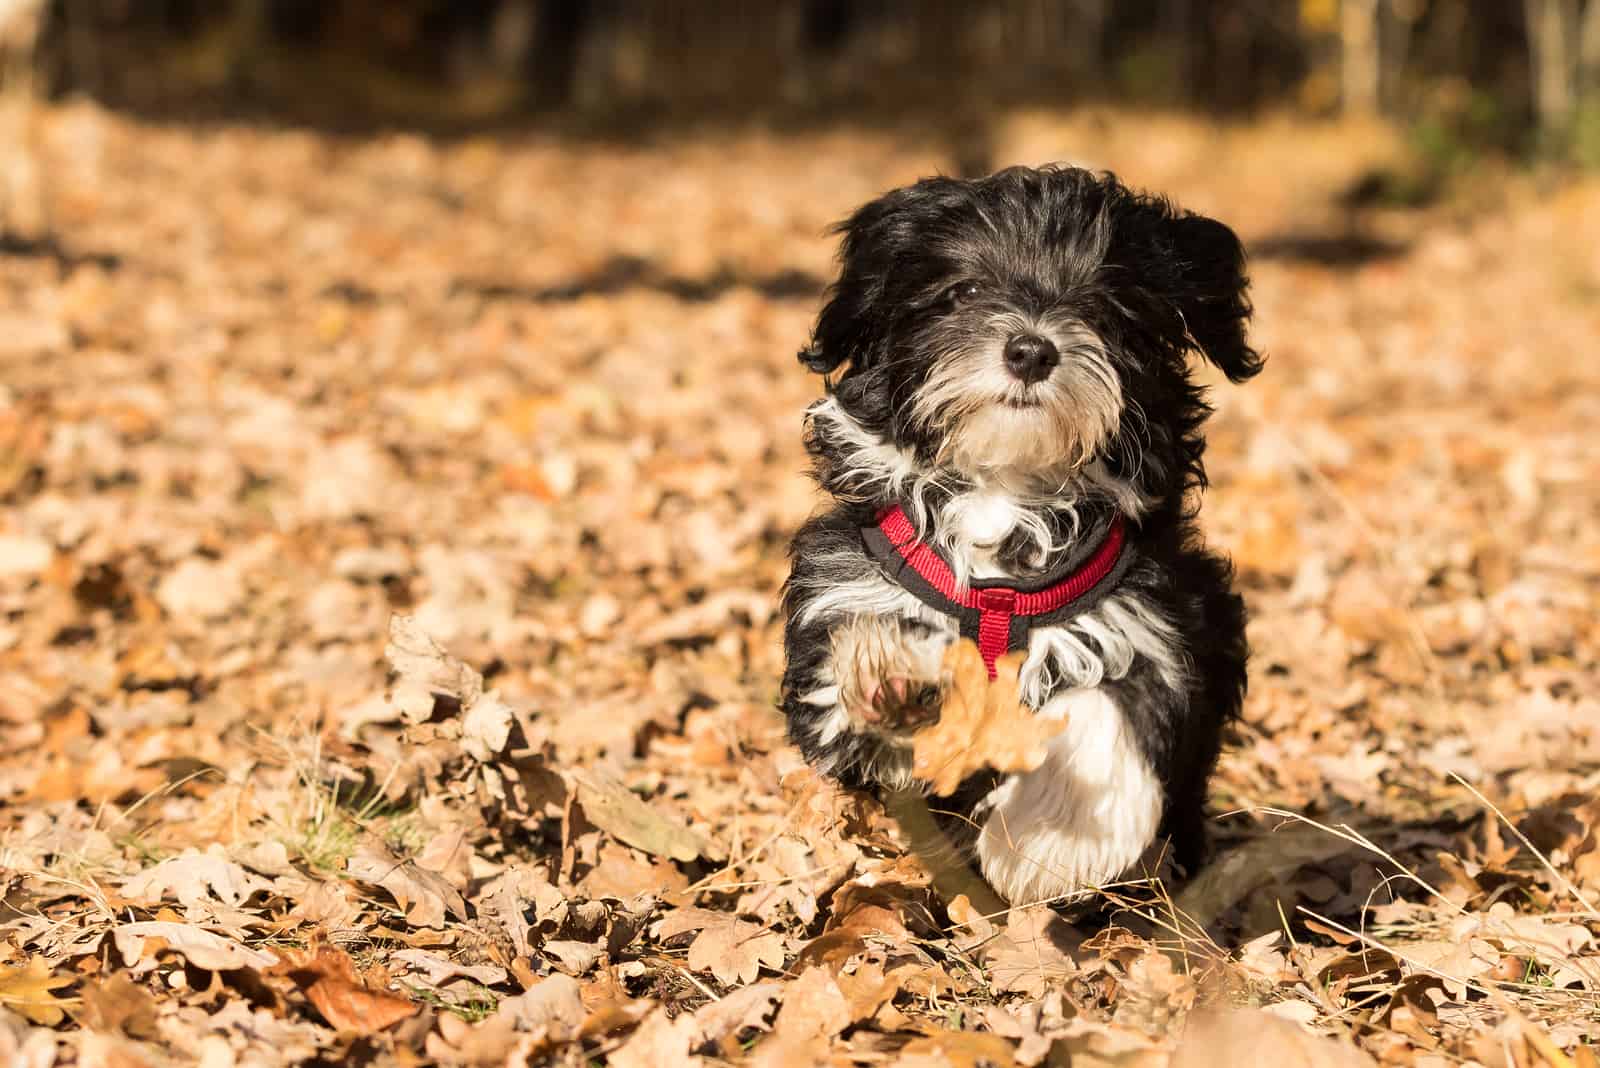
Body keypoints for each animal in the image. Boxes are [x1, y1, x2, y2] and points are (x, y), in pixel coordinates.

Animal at [777, 163, 1260, 908]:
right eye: (966, 291)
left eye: (1105, 309)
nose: (1031, 349)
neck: (1004, 491)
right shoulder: (843, 594)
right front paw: (891, 674)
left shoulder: (1161, 623)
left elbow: (1106, 706)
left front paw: (1055, 841)